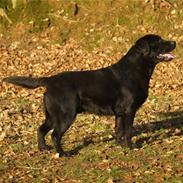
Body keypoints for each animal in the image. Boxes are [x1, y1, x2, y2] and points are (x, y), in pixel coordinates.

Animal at [2, 34, 176, 157]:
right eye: (159, 41)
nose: (174, 42)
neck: (136, 69)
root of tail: (49, 80)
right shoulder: (129, 110)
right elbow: (128, 131)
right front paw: (131, 147)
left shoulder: (119, 112)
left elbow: (118, 131)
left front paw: (120, 146)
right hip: (66, 114)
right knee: (55, 135)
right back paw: (63, 154)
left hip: (52, 115)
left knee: (41, 129)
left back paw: (43, 148)